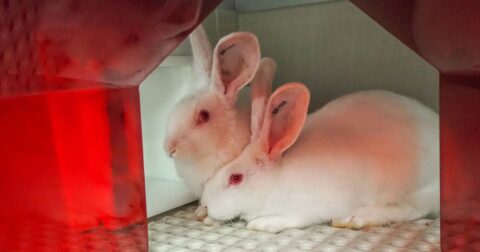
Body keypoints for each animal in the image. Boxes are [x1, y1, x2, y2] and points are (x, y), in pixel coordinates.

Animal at [201, 83, 440, 232]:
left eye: (235, 178)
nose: (205, 203)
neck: (277, 179)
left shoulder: (307, 209)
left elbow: (289, 219)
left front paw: (262, 224)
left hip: (417, 190)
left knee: (413, 210)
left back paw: (356, 218)